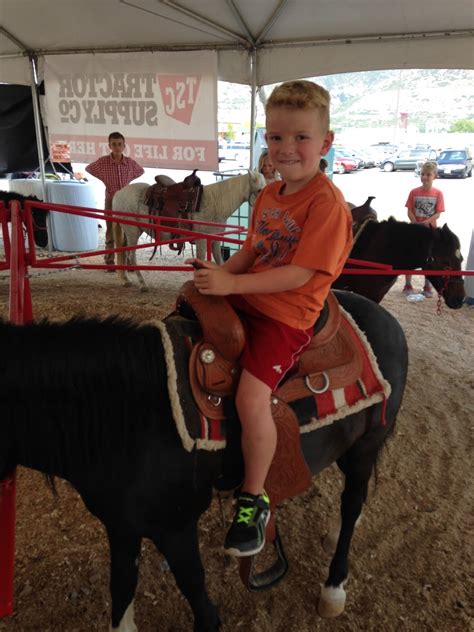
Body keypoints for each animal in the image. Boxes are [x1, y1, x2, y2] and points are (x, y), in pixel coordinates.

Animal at [0, 292, 408, 632]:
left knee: (351, 504)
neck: (127, 415)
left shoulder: (174, 525)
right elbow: (121, 587)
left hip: (365, 447)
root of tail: (387, 318)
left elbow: (194, 586)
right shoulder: (121, 524)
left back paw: (333, 587)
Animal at [112, 172, 264, 292]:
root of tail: (119, 193)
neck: (215, 203)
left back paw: (126, 279)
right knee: (131, 256)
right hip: (132, 231)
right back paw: (143, 284)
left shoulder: (215, 239)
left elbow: (220, 262)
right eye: (259, 190)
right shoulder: (202, 240)